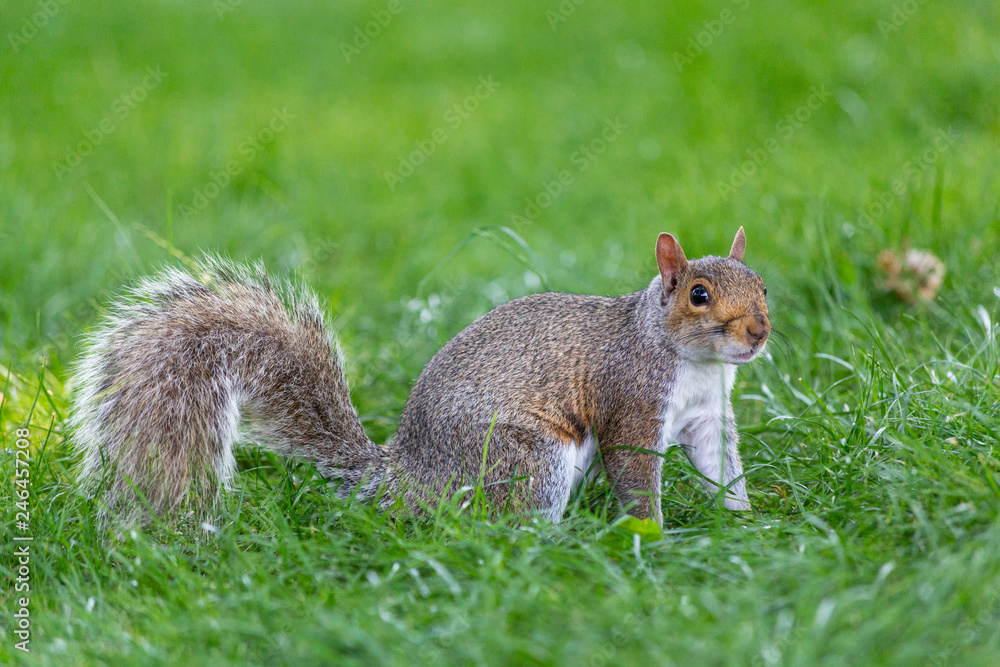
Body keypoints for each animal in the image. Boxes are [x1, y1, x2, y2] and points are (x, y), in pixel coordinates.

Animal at [69, 228, 770, 525]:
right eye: (699, 295)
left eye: (762, 284)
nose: (759, 332)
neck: (693, 364)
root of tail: (409, 478)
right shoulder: (633, 398)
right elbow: (635, 473)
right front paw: (653, 536)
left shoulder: (707, 416)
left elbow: (720, 465)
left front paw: (745, 520)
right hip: (527, 458)